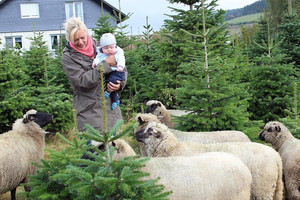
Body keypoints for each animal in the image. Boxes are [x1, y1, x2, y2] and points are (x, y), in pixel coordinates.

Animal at [135, 120, 284, 200]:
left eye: (150, 131)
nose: (135, 134)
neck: (173, 149)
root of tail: (277, 158)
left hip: (262, 188)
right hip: (275, 187)